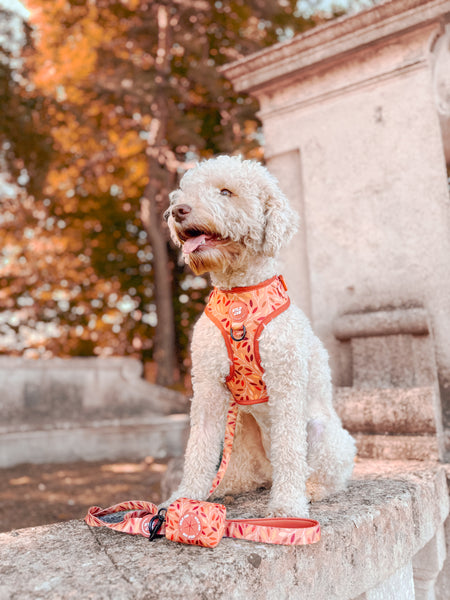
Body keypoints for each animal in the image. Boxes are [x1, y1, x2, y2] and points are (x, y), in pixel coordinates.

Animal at [164, 155, 356, 516]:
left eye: (226, 192)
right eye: (185, 190)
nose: (178, 210)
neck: (240, 295)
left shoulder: (286, 383)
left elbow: (290, 450)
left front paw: (288, 508)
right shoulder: (208, 386)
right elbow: (199, 447)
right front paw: (184, 499)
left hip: (323, 432)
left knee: (322, 473)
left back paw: (310, 490)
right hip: (241, 426)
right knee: (246, 470)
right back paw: (229, 485)